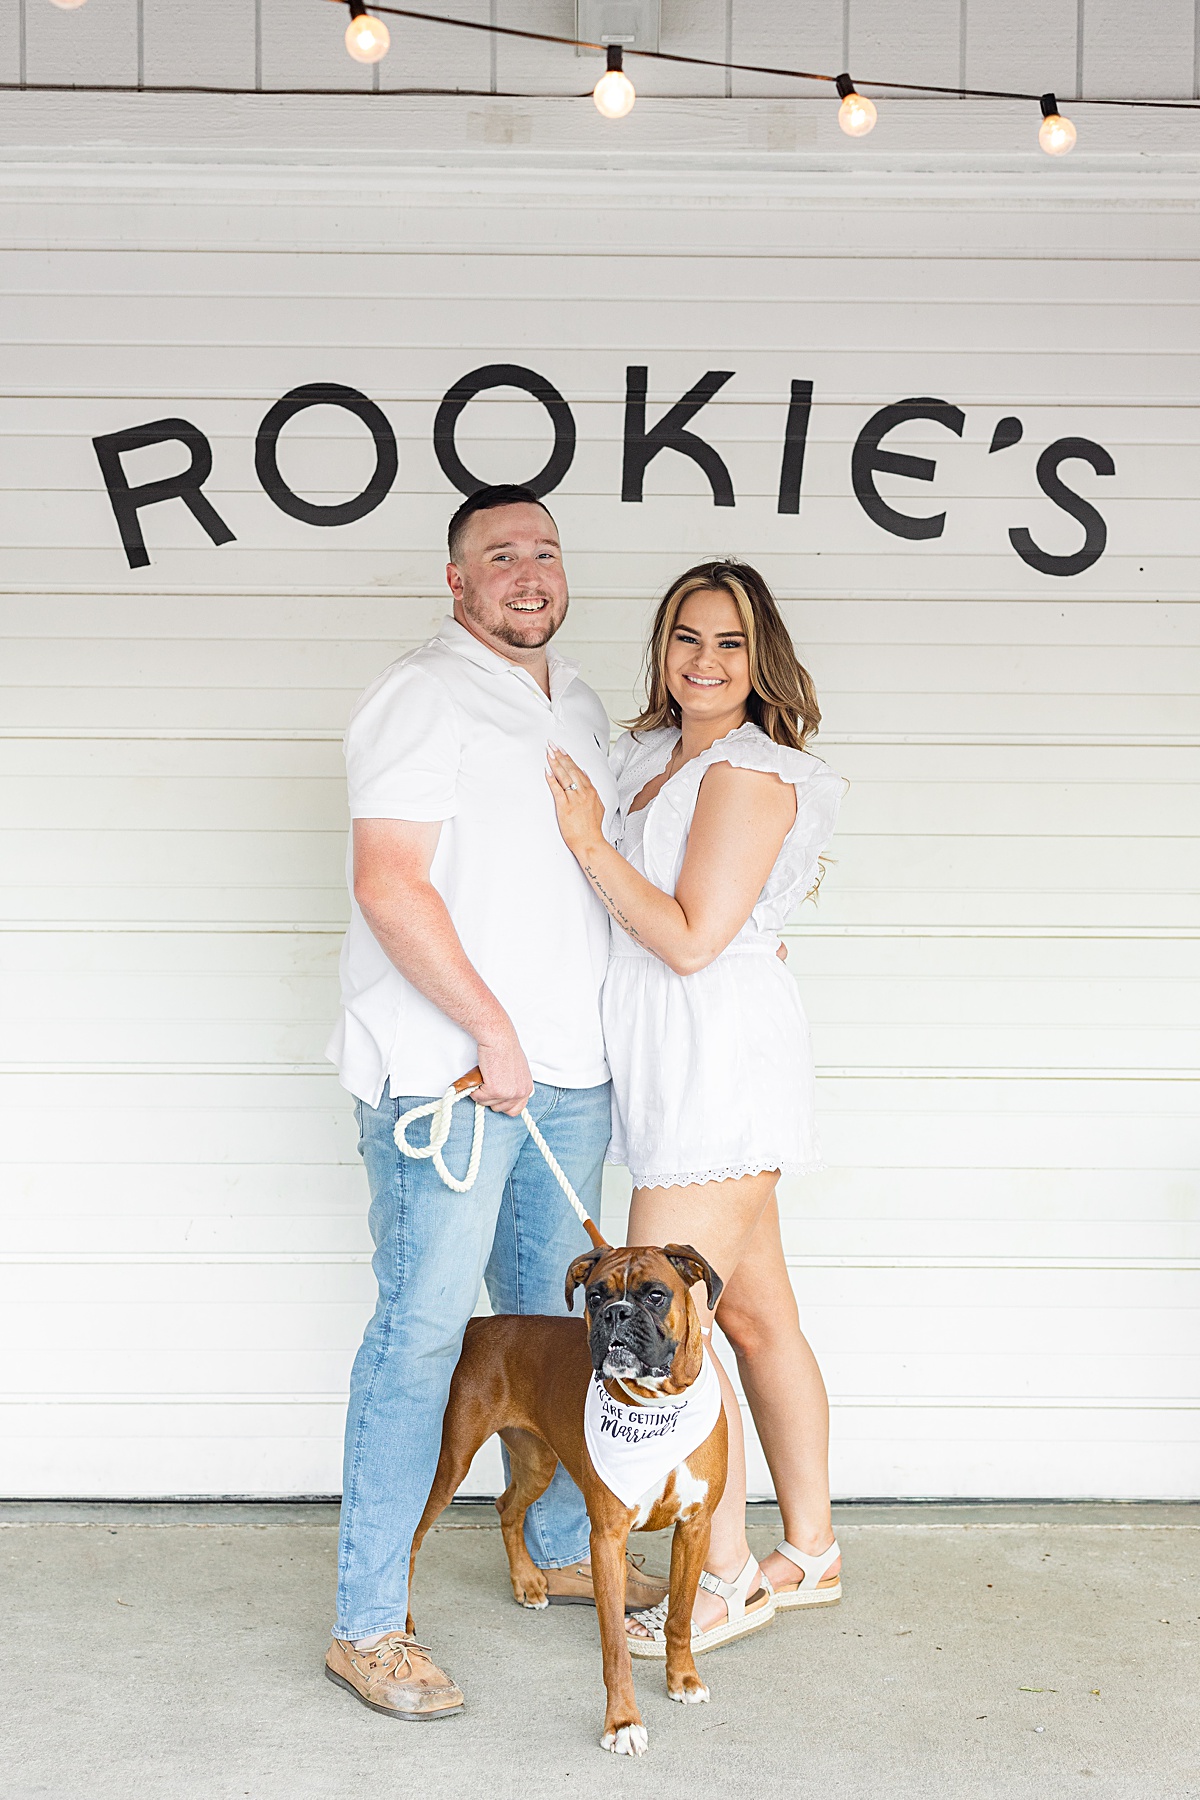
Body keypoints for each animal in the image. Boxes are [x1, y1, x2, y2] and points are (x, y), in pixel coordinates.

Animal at [413, 1245, 726, 1749]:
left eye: (655, 1295)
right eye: (595, 1296)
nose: (616, 1313)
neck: (657, 1408)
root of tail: (478, 1325)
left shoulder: (695, 1526)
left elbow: (680, 1616)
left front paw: (682, 1679)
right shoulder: (608, 1538)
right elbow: (615, 1647)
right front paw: (622, 1722)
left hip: (538, 1463)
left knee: (507, 1507)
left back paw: (528, 1582)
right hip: (450, 1464)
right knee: (411, 1538)